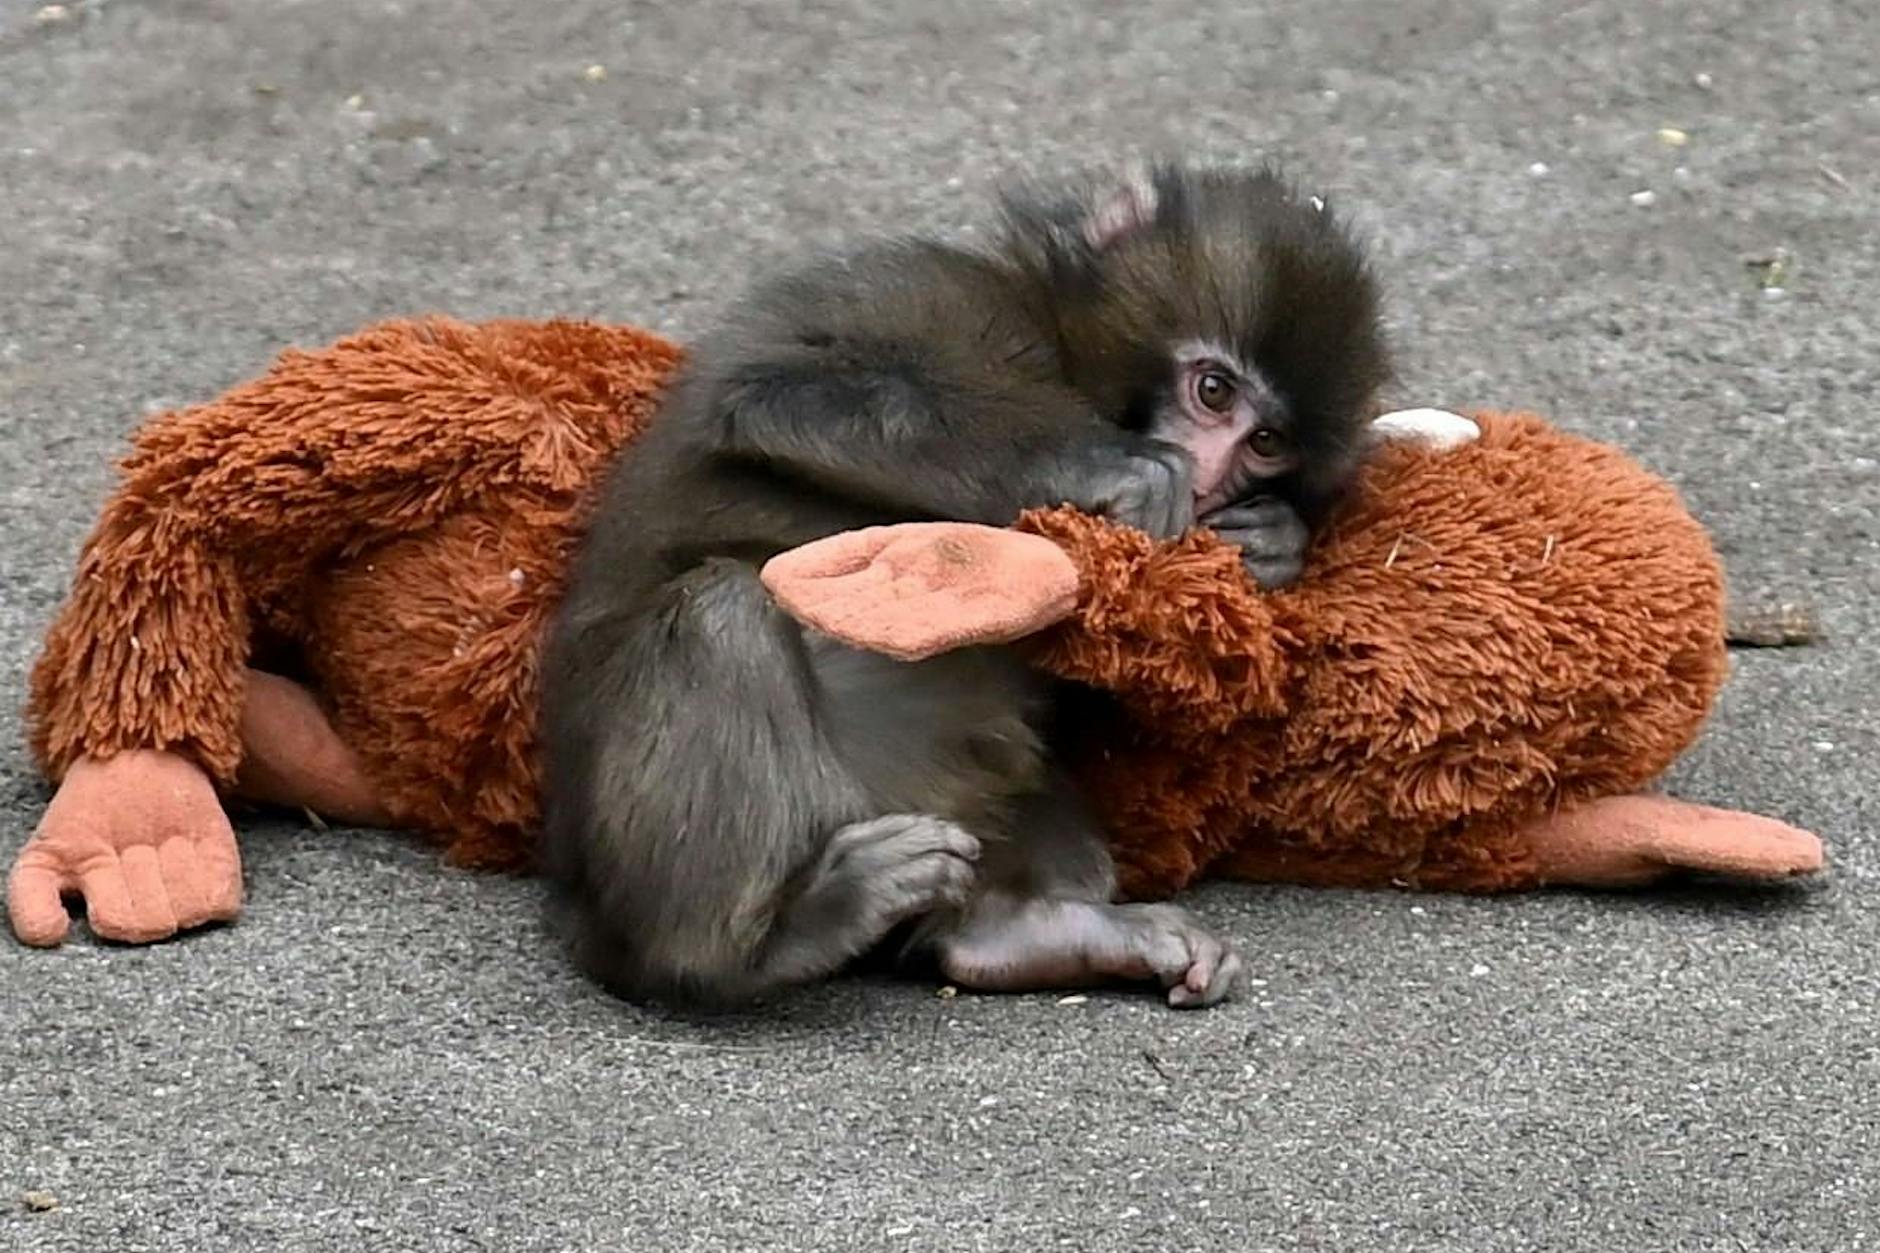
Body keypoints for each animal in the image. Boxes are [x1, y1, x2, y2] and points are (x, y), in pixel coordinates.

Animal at [539, 162, 1391, 1012]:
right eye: (1213, 391)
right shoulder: (929, 291)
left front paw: (1274, 541)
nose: (1213, 478)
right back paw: (752, 943)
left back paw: (1018, 933)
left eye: (1266, 442)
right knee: (720, 613)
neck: (1054, 348)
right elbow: (778, 395)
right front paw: (1114, 464)